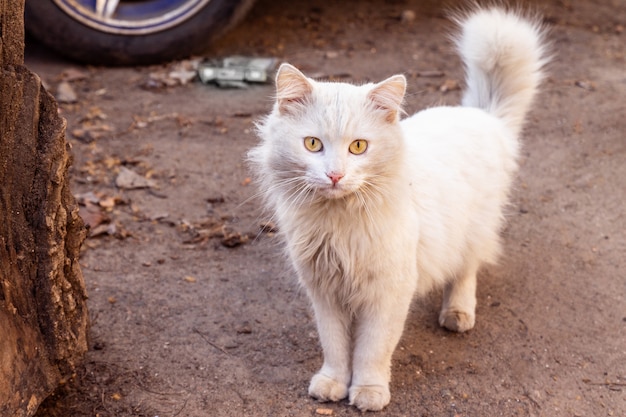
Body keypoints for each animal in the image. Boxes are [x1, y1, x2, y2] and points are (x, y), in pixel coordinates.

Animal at [247, 7, 544, 412]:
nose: (335, 175)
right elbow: (335, 346)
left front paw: (369, 392)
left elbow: (372, 349)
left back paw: (457, 313)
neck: (339, 223)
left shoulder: (388, 292)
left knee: (466, 271)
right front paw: (332, 383)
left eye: (358, 147)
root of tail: (482, 116)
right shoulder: (325, 292)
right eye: (312, 144)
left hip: (473, 231)